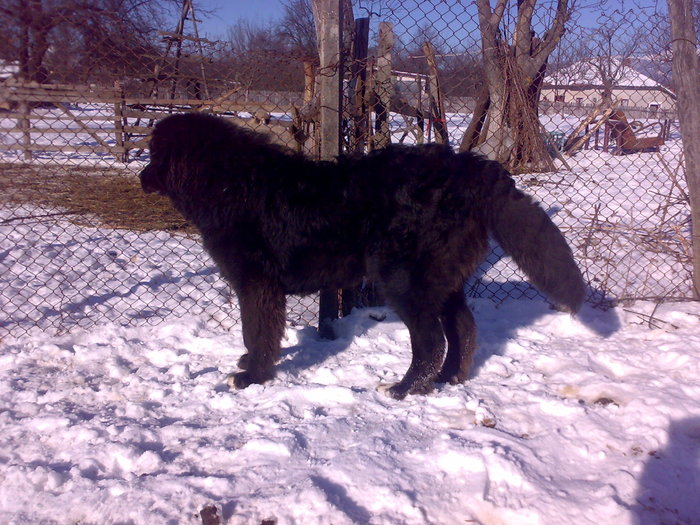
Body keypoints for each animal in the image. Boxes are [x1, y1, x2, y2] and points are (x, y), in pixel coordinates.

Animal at [141, 113, 584, 398]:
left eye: (154, 155)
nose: (141, 176)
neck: (229, 184)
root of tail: (463, 166)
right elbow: (257, 334)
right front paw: (249, 365)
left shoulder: (257, 285)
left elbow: (258, 331)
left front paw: (253, 377)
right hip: (442, 280)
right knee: (462, 329)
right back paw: (448, 379)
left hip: (402, 279)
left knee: (430, 340)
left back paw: (405, 389)